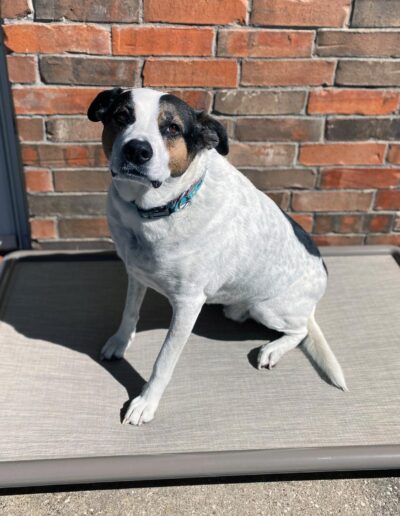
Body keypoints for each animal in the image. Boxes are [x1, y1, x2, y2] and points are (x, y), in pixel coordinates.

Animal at [87, 88, 346, 426]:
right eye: (121, 116)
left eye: (172, 128)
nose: (137, 150)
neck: (157, 210)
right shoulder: (135, 272)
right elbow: (129, 312)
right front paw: (120, 342)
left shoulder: (187, 305)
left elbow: (163, 362)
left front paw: (146, 402)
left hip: (268, 308)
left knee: (300, 331)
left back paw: (273, 349)